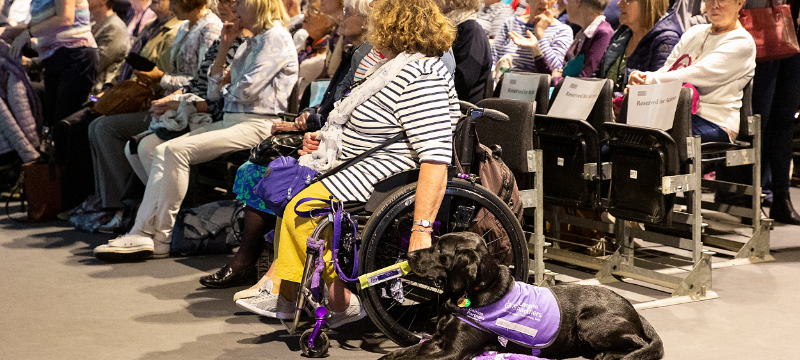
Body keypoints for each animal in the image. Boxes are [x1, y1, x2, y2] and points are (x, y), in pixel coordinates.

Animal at [382, 232, 664, 358]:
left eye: (441, 250)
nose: (408, 254)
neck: (473, 291)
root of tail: (632, 308)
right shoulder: (438, 340)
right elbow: (405, 352)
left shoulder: (453, 351)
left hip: (589, 322)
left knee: (641, 345)